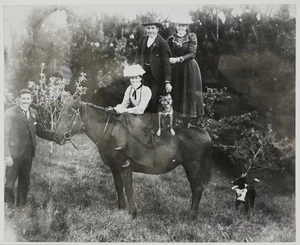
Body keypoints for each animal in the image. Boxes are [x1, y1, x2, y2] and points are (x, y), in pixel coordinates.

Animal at [54, 96, 213, 219]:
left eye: (69, 115)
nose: (56, 137)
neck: (110, 133)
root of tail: (205, 134)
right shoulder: (115, 168)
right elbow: (119, 187)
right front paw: (121, 209)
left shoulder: (126, 167)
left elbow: (128, 188)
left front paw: (132, 213)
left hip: (193, 167)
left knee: (197, 188)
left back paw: (191, 216)